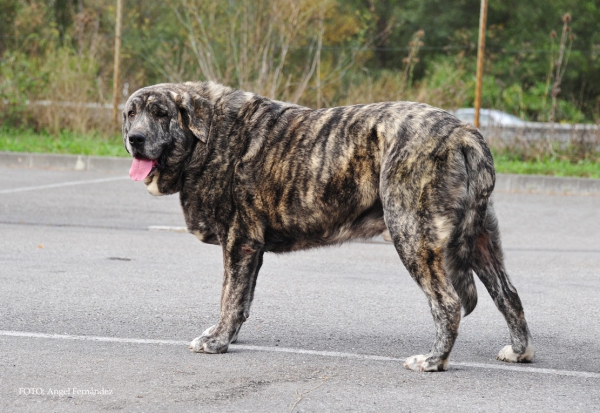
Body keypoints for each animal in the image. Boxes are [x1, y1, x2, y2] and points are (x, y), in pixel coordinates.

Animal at [122, 80, 536, 370]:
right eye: (130, 113)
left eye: (161, 113)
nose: (135, 138)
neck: (207, 138)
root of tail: (465, 133)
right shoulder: (250, 249)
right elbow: (241, 301)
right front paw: (224, 334)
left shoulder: (239, 242)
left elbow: (229, 297)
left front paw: (217, 341)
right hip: (480, 239)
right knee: (508, 294)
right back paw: (519, 351)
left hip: (412, 234)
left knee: (447, 303)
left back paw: (434, 361)